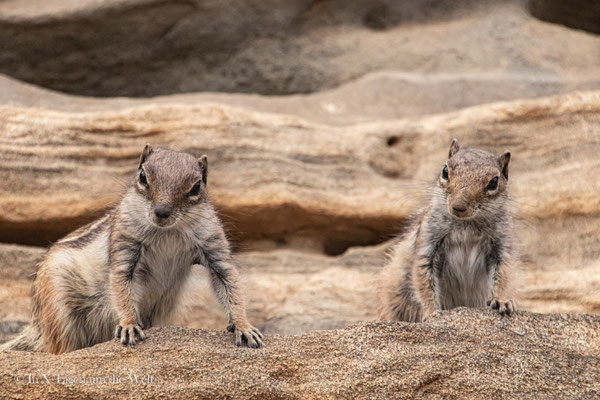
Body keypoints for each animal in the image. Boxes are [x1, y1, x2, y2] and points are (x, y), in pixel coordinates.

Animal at [3, 145, 262, 352]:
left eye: (196, 187)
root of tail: (37, 327)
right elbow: (121, 285)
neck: (168, 232)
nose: (162, 211)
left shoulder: (212, 244)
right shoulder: (125, 244)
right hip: (59, 311)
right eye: (143, 176)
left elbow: (228, 280)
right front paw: (129, 324)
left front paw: (244, 326)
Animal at [380, 138, 516, 322]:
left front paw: (502, 301)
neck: (465, 225)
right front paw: (432, 312)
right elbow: (423, 281)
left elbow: (503, 275)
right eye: (445, 171)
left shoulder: (502, 247)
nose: (458, 206)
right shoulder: (427, 244)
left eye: (494, 181)